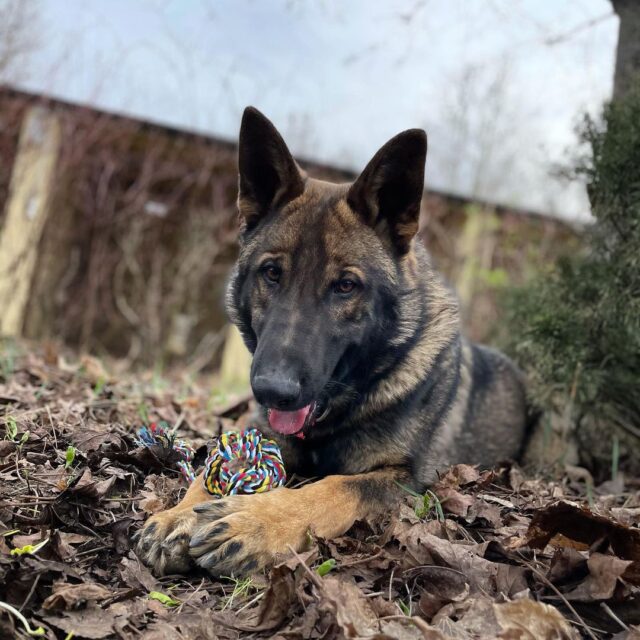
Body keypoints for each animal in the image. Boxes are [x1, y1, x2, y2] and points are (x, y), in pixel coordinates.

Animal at [136, 107, 528, 576]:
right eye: (272, 273)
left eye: (345, 286)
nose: (274, 391)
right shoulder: (265, 436)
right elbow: (212, 469)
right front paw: (177, 515)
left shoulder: (402, 479)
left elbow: (334, 488)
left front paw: (256, 522)